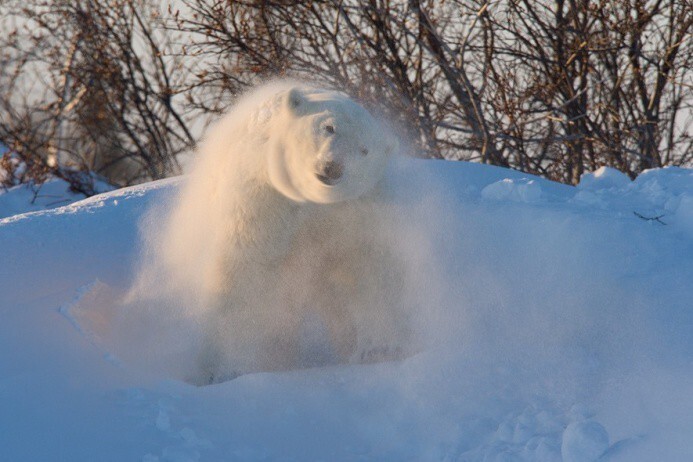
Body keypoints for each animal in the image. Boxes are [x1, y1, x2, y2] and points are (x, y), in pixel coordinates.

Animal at [149, 82, 414, 382]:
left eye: (364, 150)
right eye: (329, 127)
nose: (332, 168)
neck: (312, 202)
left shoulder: (356, 211)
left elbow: (366, 265)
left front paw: (381, 350)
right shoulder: (264, 195)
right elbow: (245, 270)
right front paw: (224, 370)